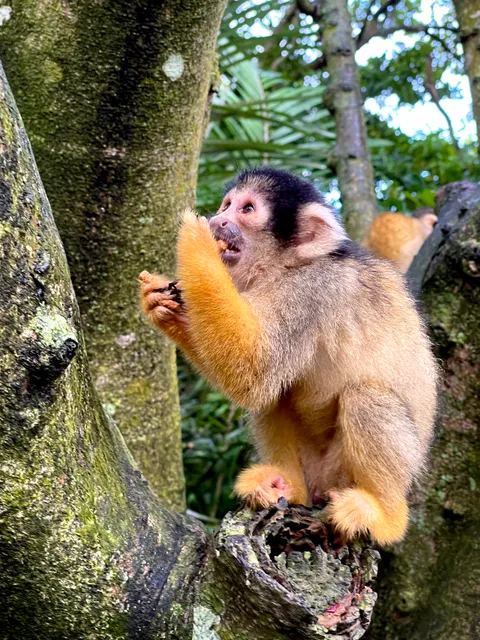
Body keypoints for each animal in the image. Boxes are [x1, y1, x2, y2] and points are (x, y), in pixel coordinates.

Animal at [139, 167, 438, 546]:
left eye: (247, 209)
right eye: (227, 204)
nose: (219, 220)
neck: (285, 268)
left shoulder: (313, 291)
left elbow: (253, 369)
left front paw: (196, 240)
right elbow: (258, 376)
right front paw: (160, 304)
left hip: (349, 471)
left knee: (366, 397)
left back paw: (384, 514)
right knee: (279, 393)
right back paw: (287, 487)